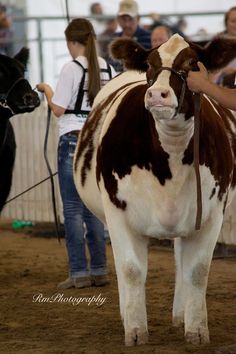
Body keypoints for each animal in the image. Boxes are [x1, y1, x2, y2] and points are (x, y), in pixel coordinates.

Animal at [74, 35, 236, 346]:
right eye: (150, 64)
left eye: (192, 62)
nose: (157, 95)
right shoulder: (116, 210)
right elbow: (131, 269)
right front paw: (136, 330)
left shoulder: (211, 213)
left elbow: (197, 271)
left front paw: (197, 330)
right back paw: (126, 314)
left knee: (181, 260)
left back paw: (180, 315)